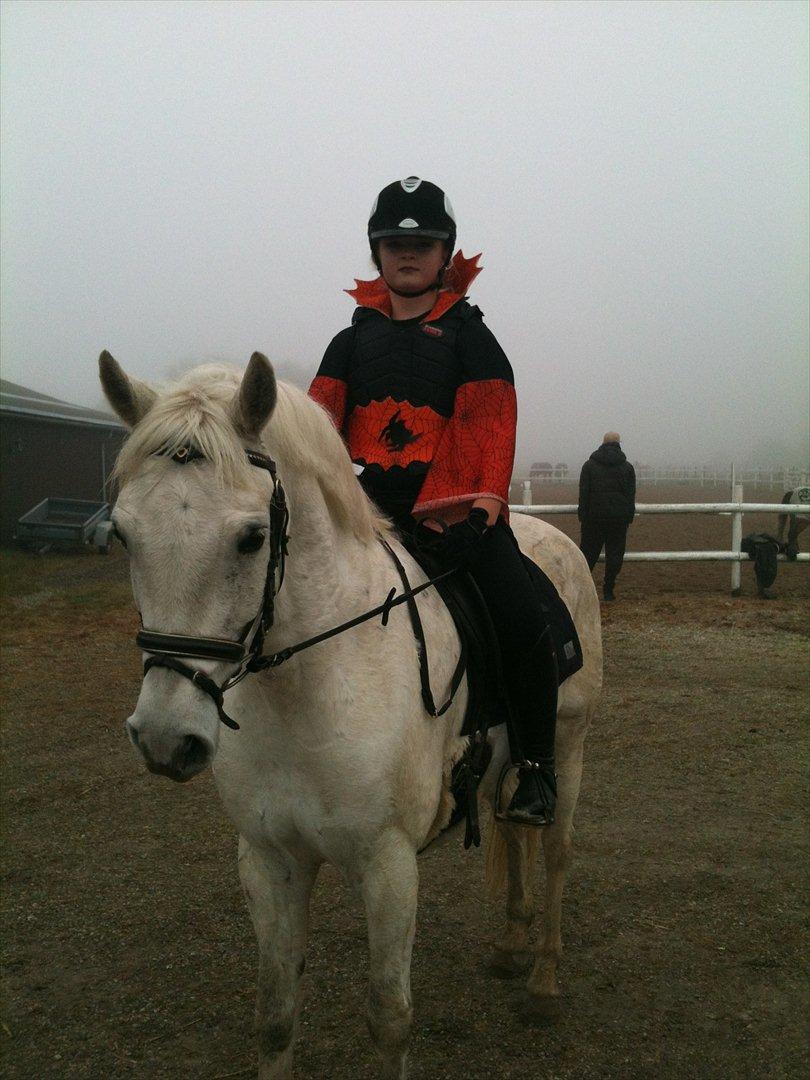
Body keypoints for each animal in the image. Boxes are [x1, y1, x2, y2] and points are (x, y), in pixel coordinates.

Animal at [99, 354, 604, 1080]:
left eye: (251, 538)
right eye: (122, 533)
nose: (166, 738)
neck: (311, 690)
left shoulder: (388, 865)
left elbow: (389, 1019)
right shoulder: (270, 862)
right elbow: (275, 1019)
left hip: (568, 746)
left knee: (557, 851)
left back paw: (542, 982)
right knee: (513, 834)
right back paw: (512, 945)